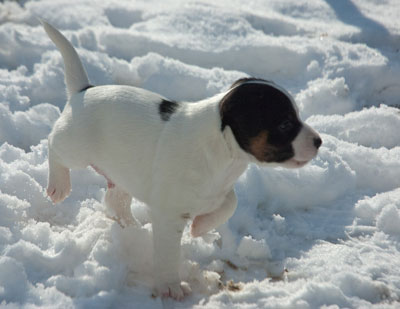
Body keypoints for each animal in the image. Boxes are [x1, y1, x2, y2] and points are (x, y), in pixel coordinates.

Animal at [41, 19, 322, 298]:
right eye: (285, 124)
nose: (319, 141)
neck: (223, 150)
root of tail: (83, 91)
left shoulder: (217, 191)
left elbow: (230, 202)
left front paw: (200, 226)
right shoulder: (169, 216)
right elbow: (167, 254)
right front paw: (170, 286)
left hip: (122, 172)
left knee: (116, 199)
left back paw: (133, 229)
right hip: (75, 147)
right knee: (54, 145)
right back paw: (59, 186)